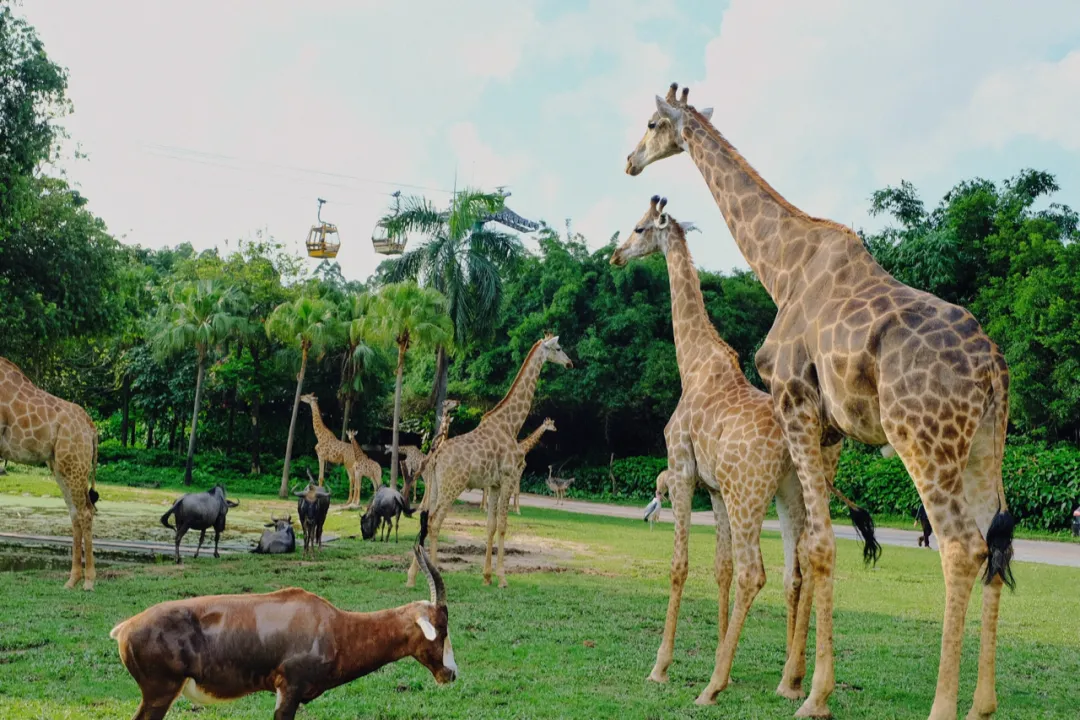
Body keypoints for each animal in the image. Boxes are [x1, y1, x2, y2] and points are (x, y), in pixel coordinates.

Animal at [0, 358, 101, 591]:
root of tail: (91, 429)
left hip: (73, 463)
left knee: (85, 512)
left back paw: (89, 581)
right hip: (59, 465)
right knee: (75, 512)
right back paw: (72, 580)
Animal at [406, 334, 574, 587]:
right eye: (559, 347)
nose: (570, 363)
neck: (511, 425)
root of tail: (435, 457)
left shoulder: (494, 485)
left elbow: (490, 526)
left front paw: (486, 577)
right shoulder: (508, 478)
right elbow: (503, 526)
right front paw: (502, 578)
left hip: (435, 487)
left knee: (425, 520)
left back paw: (412, 576)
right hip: (452, 487)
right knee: (435, 522)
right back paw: (435, 574)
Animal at [609, 197, 876, 703]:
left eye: (638, 228)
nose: (614, 256)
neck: (693, 364)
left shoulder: (682, 470)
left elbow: (681, 565)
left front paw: (663, 667)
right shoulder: (714, 488)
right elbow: (721, 568)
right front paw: (722, 658)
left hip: (750, 493)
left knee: (759, 572)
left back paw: (715, 688)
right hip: (791, 493)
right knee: (799, 566)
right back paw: (789, 681)